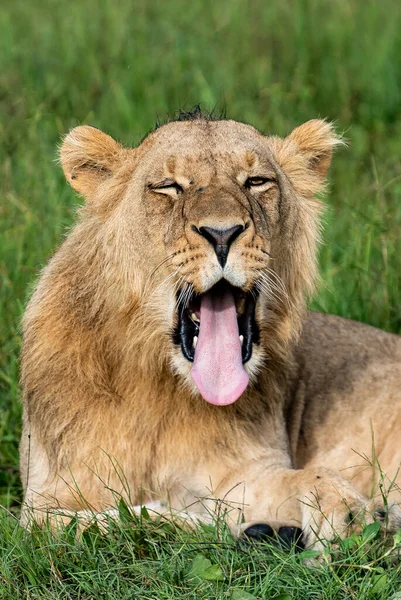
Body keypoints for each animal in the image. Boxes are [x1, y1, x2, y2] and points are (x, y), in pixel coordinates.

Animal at [19, 111, 401, 548]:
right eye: (169, 187)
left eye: (256, 182)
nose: (222, 234)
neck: (163, 387)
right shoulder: (43, 502)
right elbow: (123, 522)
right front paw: (243, 530)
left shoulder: (250, 470)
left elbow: (307, 478)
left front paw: (349, 513)